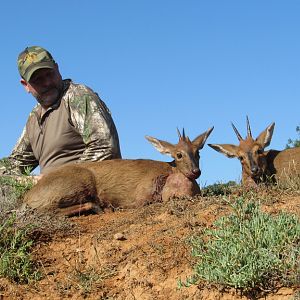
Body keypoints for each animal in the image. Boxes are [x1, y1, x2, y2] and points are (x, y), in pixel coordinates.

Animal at [22, 126, 213, 216]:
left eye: (198, 152)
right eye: (178, 154)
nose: (195, 172)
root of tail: (28, 197)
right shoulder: (139, 199)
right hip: (76, 184)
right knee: (46, 210)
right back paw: (100, 207)